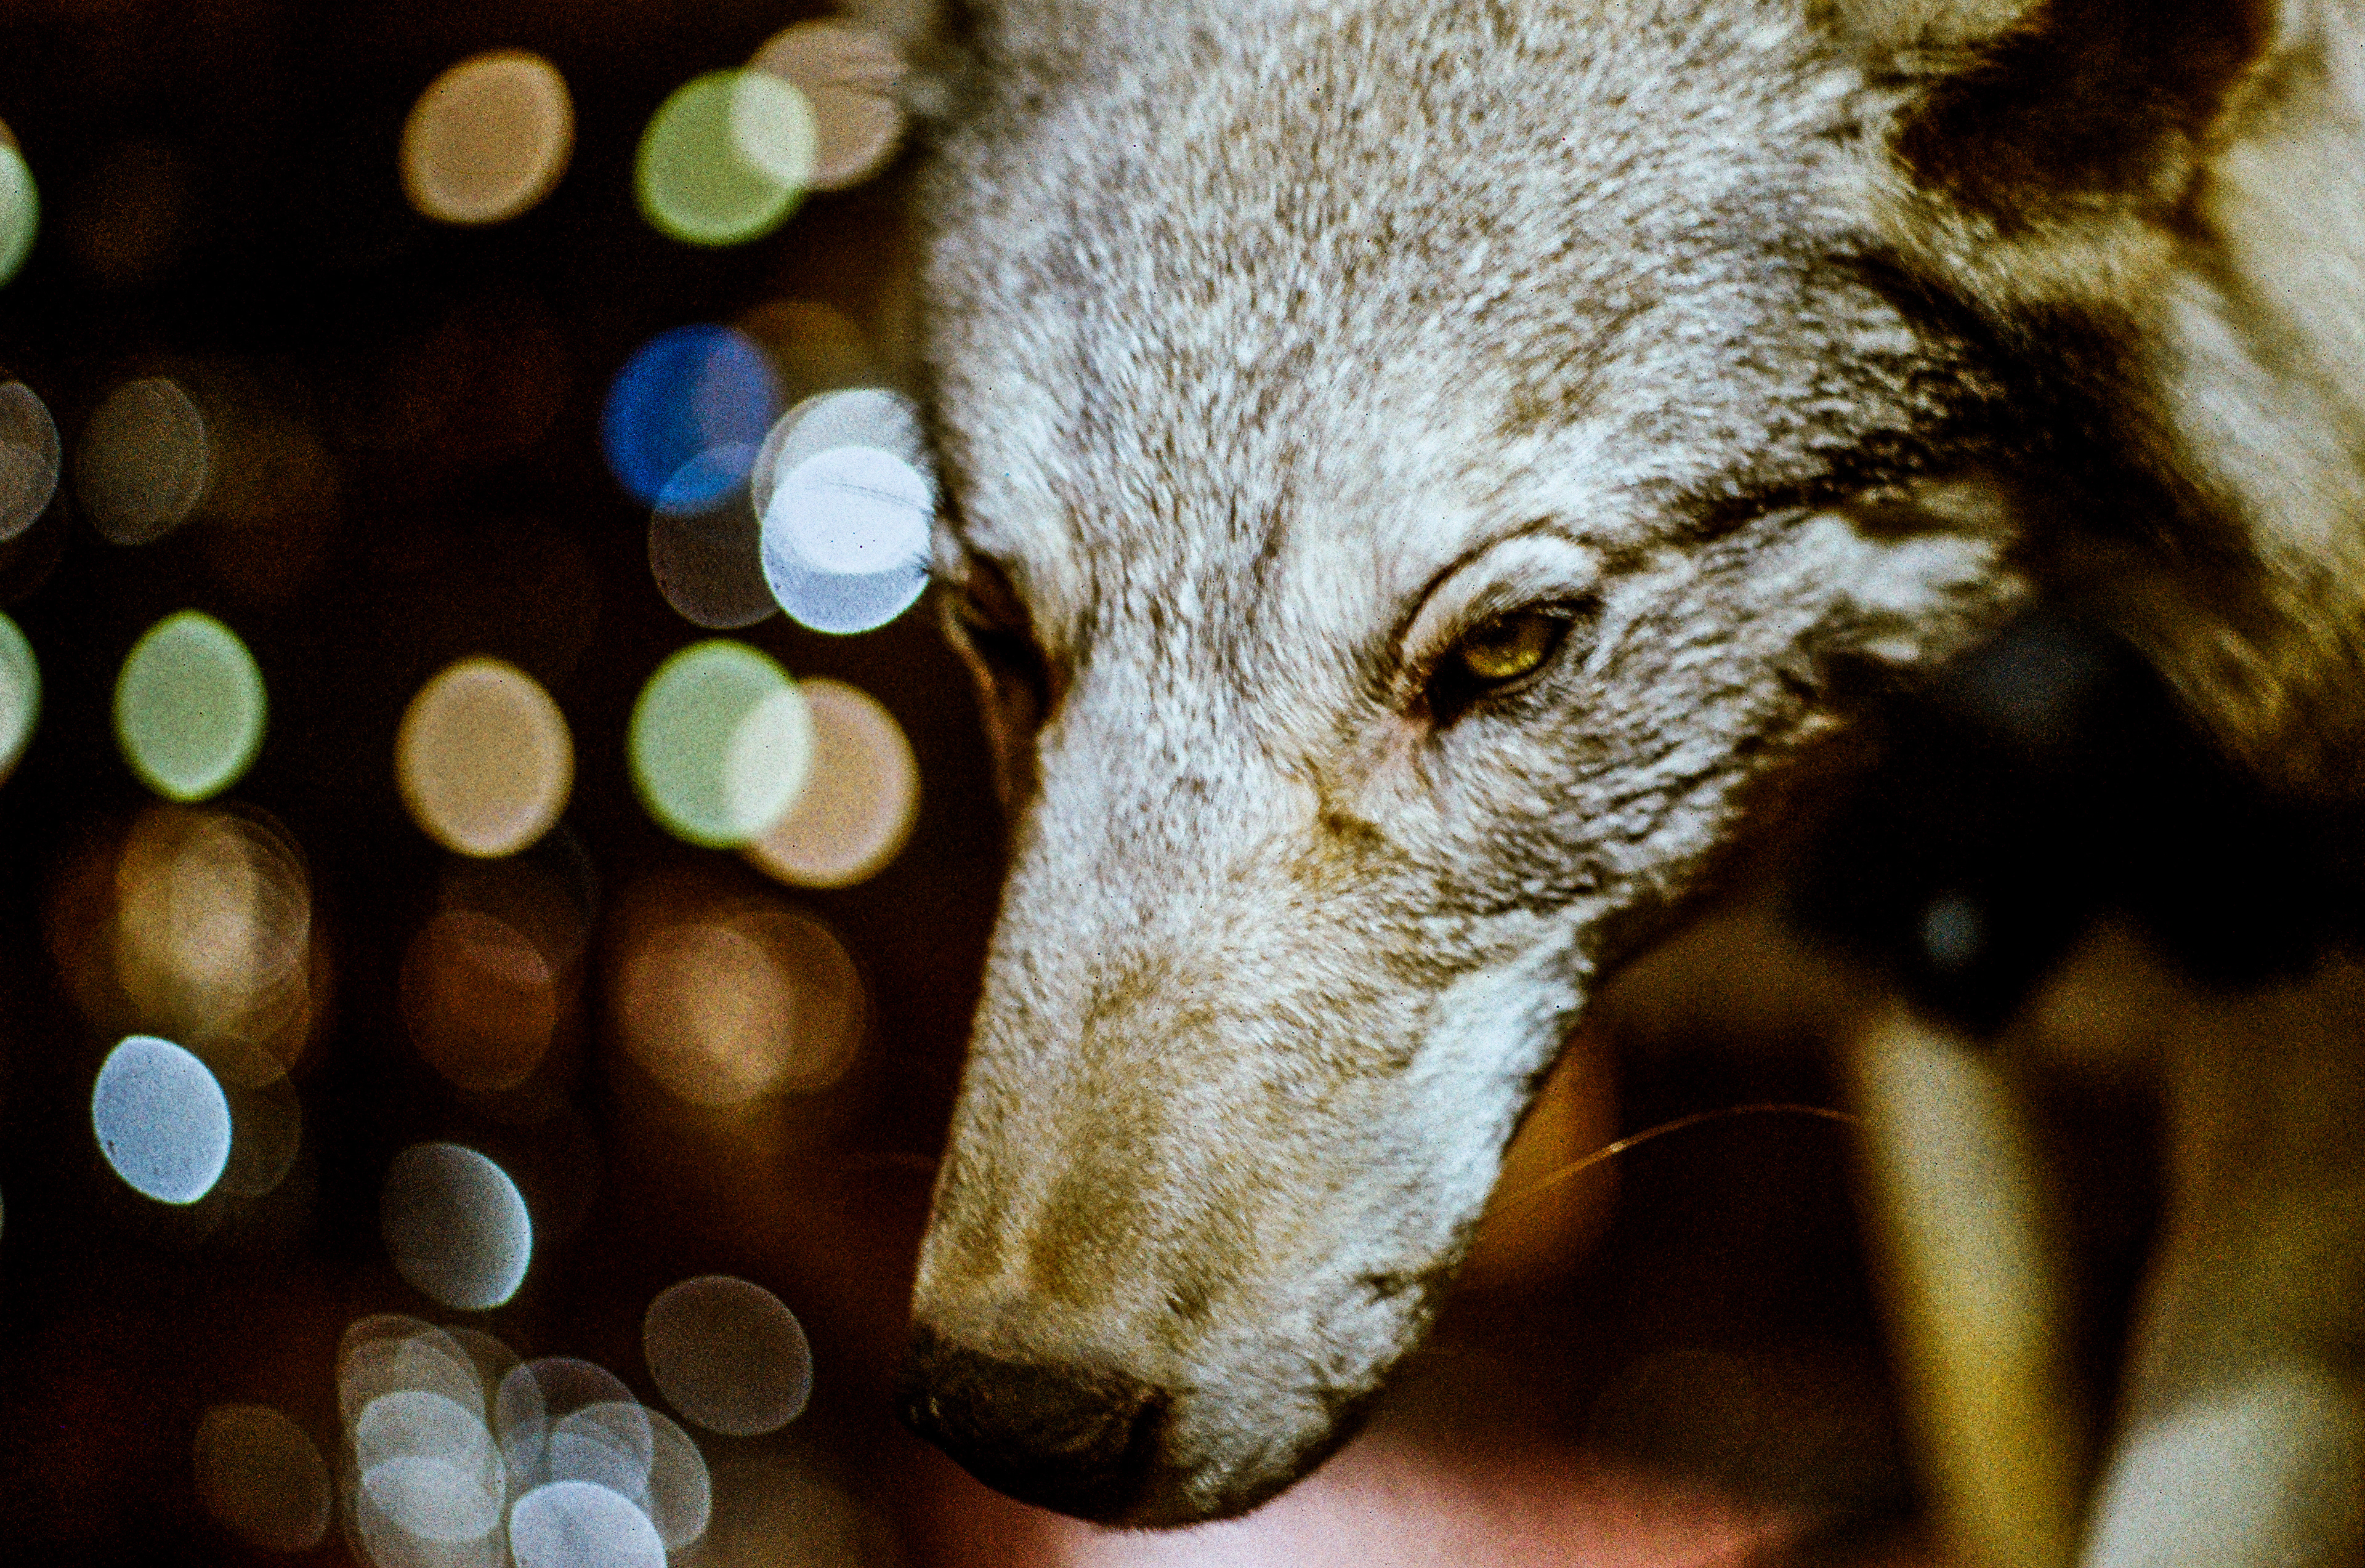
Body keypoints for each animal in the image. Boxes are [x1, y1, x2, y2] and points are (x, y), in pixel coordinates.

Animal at [892, 0, 2365, 1549]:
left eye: (1504, 648)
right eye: (996, 630)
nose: (1014, 1417)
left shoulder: (2299, 1097)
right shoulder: (1917, 1039)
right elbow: (2001, 1420)